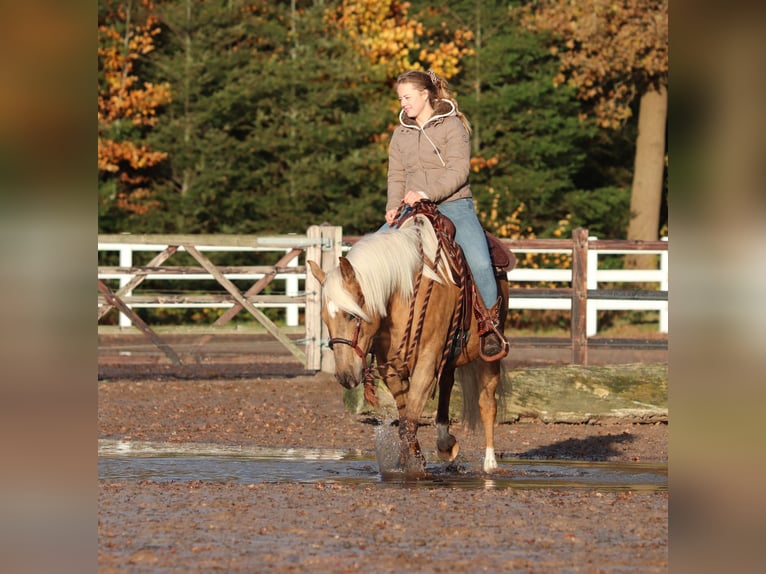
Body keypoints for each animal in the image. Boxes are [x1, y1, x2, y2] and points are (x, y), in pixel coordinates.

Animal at [308, 209, 512, 474]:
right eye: (324, 318)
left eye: (352, 315)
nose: (345, 376)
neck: (401, 295)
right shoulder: (393, 370)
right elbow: (406, 420)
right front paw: (409, 463)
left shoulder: (426, 364)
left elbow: (411, 420)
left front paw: (412, 470)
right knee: (446, 384)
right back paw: (445, 443)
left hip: (489, 355)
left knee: (487, 402)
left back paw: (490, 463)